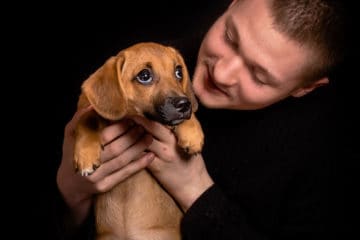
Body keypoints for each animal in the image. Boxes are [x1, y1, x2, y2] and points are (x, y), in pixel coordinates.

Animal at [73, 42, 204, 239]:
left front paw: (193, 133)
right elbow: (85, 118)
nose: (184, 105)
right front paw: (85, 155)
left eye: (178, 72)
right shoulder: (88, 109)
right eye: (144, 76)